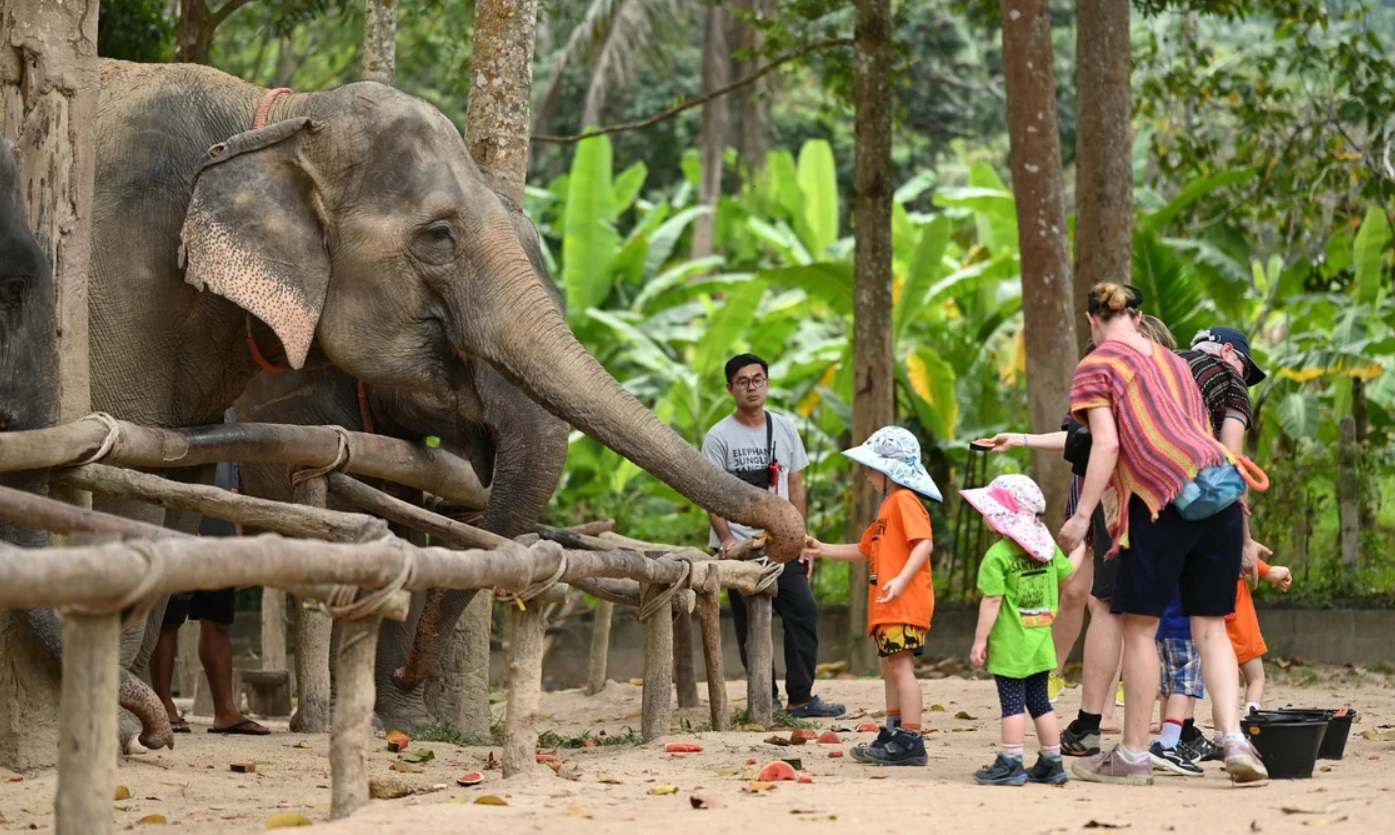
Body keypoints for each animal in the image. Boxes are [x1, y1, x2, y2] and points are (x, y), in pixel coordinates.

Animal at [27, 59, 803, 750]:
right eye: (438, 237)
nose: (781, 537)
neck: (278, 114)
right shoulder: (135, 285)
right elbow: (140, 484)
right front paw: (123, 730)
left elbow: (186, 483)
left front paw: (398, 719)